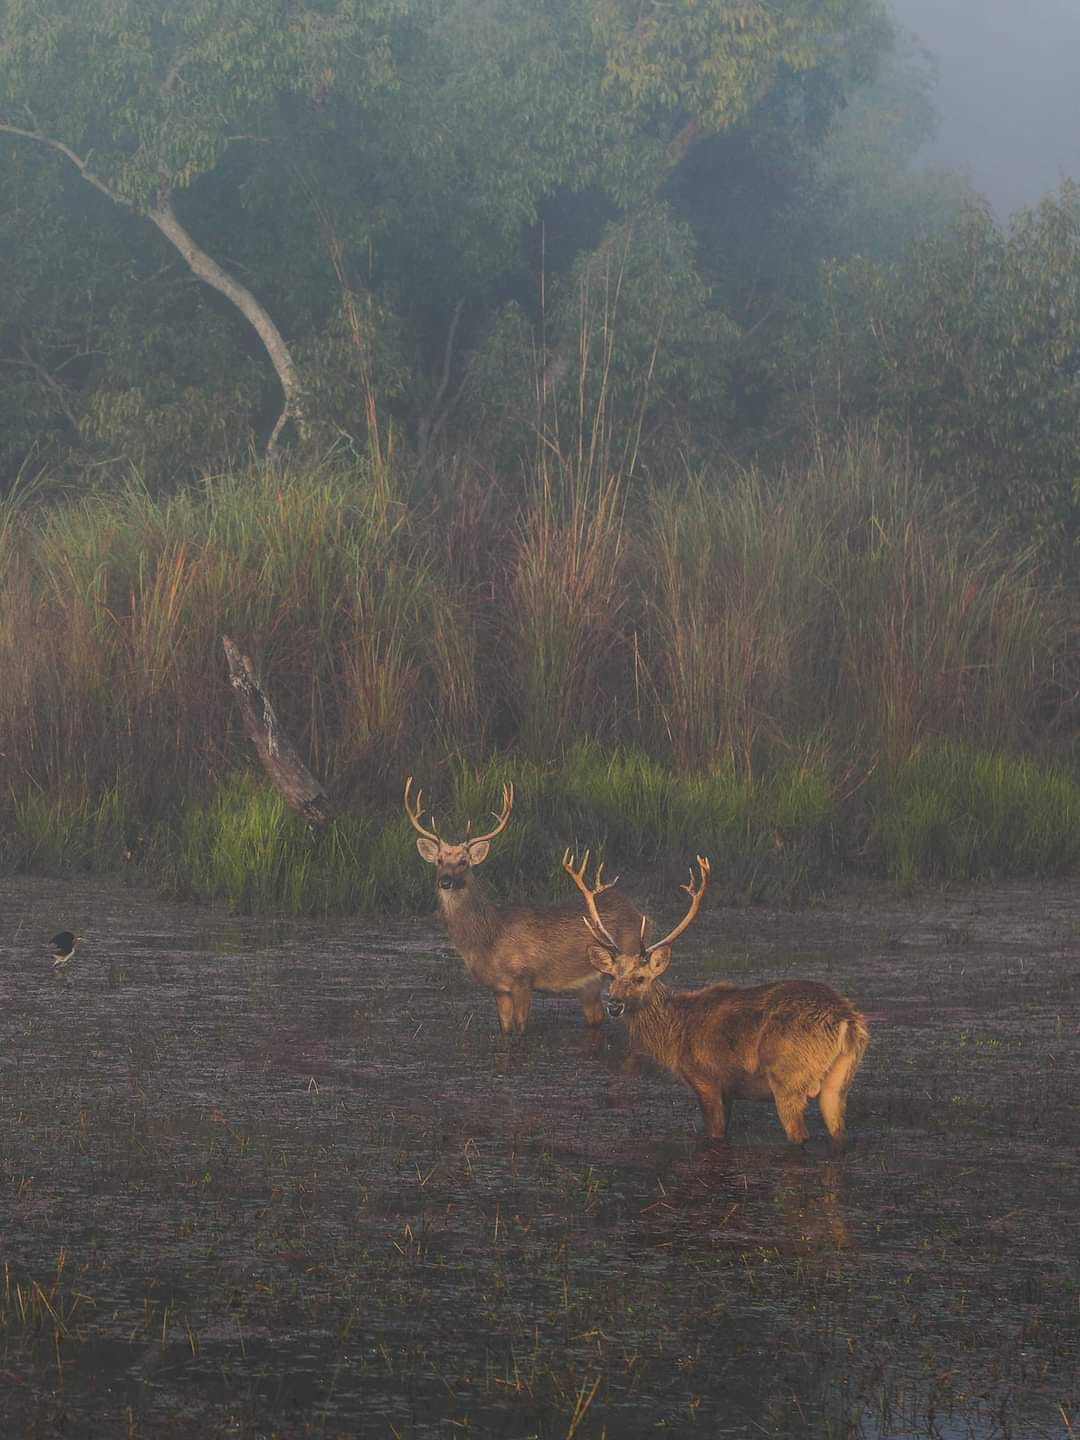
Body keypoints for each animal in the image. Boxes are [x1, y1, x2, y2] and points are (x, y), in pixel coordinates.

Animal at [405, 777, 647, 1035]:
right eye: (439, 860)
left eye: (464, 861)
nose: (445, 881)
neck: (489, 938)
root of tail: (639, 913)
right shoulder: (498, 988)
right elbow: (505, 1029)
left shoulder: (523, 977)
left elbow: (521, 1028)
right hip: (590, 984)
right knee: (596, 1016)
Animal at [564, 852, 869, 1146]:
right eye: (611, 977)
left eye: (640, 977)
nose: (614, 1005)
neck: (676, 1031)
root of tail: (846, 1022)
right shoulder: (728, 1089)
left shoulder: (706, 1078)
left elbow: (716, 1134)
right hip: (839, 1082)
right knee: (840, 1135)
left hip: (789, 1077)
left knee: (799, 1135)